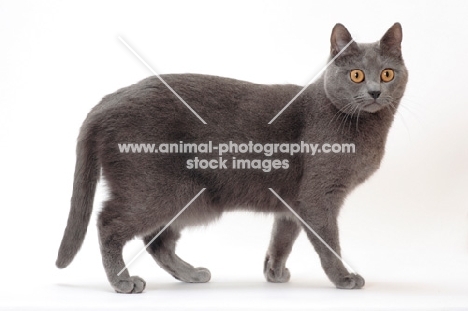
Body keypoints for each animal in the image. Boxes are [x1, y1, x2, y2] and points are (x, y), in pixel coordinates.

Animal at [55, 23, 406, 294]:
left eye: (387, 74)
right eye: (357, 75)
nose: (375, 91)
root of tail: (106, 101)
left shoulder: (293, 202)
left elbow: (282, 238)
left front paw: (274, 273)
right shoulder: (318, 195)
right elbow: (327, 241)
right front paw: (344, 278)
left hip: (188, 199)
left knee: (156, 240)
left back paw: (191, 274)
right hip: (160, 191)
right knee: (109, 223)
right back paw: (122, 281)